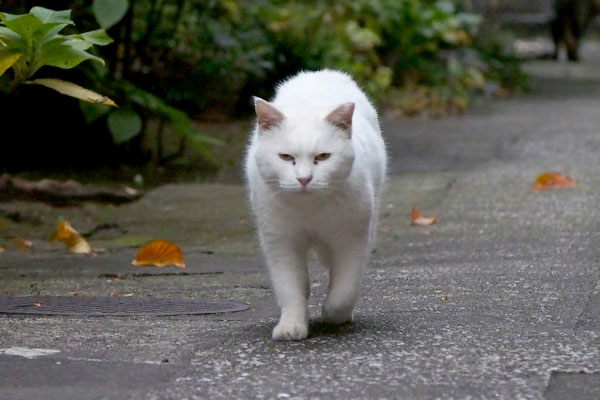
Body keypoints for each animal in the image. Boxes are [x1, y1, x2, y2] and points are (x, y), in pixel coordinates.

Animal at [246, 69, 386, 340]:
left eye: (322, 157)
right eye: (285, 157)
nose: (304, 179)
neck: (310, 209)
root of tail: (320, 73)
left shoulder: (351, 239)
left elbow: (344, 289)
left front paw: (334, 315)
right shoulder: (281, 242)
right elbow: (291, 287)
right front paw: (291, 326)